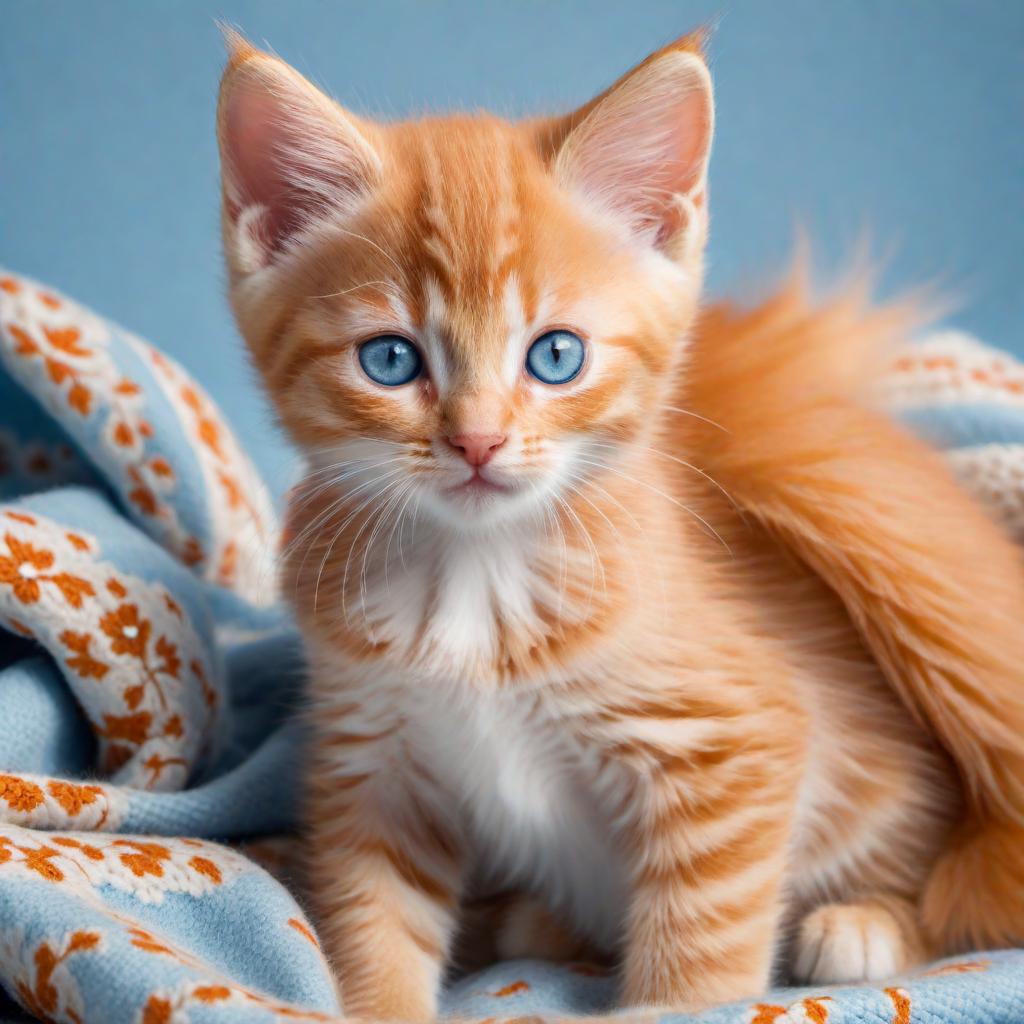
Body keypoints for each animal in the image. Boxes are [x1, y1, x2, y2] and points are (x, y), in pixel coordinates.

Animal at [218, 28, 1024, 1019]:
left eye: (557, 356)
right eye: (391, 360)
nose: (478, 440)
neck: (476, 575)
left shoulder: (735, 745)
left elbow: (705, 944)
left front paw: (680, 996)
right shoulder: (375, 766)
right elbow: (376, 923)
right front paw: (377, 1001)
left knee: (949, 889)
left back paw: (862, 925)